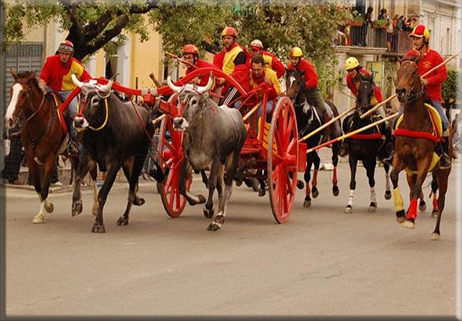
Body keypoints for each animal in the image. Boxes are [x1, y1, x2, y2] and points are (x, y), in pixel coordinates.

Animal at [4, 70, 78, 222]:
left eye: (24, 93)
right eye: (11, 90)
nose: (9, 119)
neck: (40, 121)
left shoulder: (50, 158)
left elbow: (45, 188)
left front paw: (40, 214)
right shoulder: (30, 156)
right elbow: (38, 185)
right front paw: (48, 206)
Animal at [286, 68, 342, 206]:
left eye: (298, 82)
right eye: (287, 81)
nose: (290, 97)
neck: (302, 118)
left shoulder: (309, 147)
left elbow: (306, 174)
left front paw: (307, 198)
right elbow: (290, 170)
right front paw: (300, 184)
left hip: (335, 142)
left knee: (334, 160)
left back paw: (335, 187)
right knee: (317, 161)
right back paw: (315, 189)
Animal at [342, 72, 392, 212]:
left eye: (371, 91)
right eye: (359, 90)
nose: (363, 108)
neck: (362, 128)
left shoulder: (371, 158)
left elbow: (372, 180)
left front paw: (372, 204)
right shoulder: (353, 157)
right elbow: (353, 181)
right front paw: (349, 204)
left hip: (383, 153)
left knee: (386, 169)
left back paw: (387, 193)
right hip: (364, 160)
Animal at [390, 57, 452, 239]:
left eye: (414, 72)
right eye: (398, 71)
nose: (401, 91)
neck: (413, 122)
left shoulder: (425, 160)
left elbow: (418, 188)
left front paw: (410, 220)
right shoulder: (401, 158)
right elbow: (394, 176)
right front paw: (401, 214)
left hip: (443, 172)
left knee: (441, 200)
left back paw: (436, 231)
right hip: (411, 171)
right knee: (412, 189)